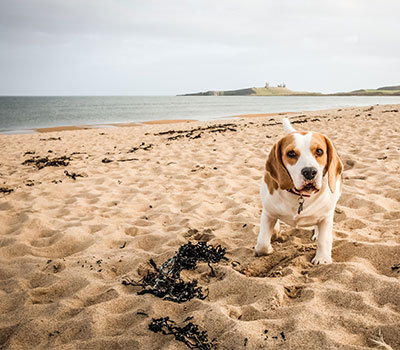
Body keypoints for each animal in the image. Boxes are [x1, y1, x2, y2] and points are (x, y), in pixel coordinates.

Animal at [256, 119, 344, 264]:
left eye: (319, 151)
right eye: (291, 153)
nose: (310, 172)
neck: (300, 195)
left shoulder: (326, 216)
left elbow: (324, 239)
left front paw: (322, 258)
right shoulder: (268, 213)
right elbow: (262, 244)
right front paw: (268, 246)